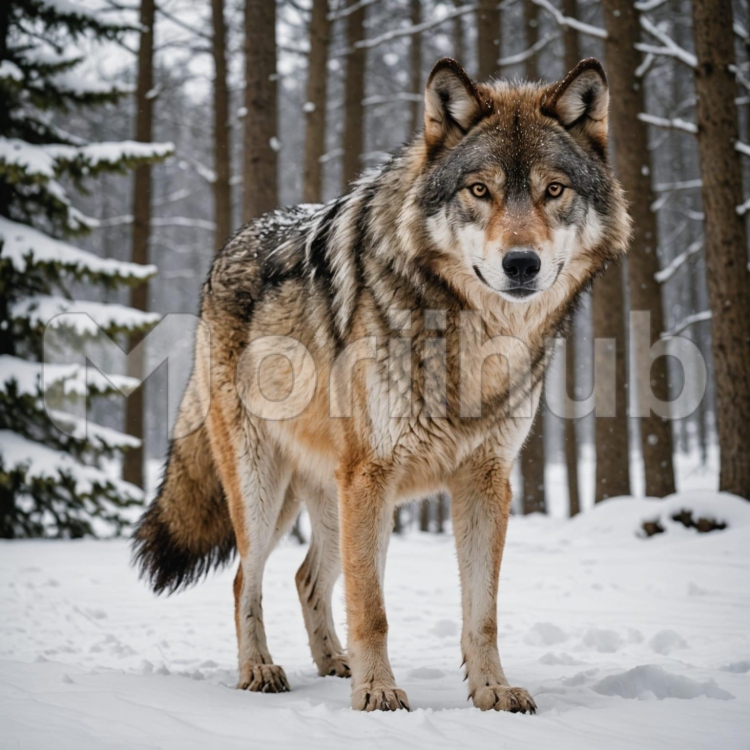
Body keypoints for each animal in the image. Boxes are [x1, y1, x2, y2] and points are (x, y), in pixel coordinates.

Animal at [133, 57, 630, 713]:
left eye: (554, 190)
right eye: (480, 190)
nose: (521, 264)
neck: (470, 338)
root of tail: (225, 252)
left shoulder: (486, 480)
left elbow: (483, 612)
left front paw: (492, 690)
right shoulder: (371, 473)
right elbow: (373, 608)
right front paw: (377, 693)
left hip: (338, 500)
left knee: (305, 575)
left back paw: (332, 662)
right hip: (270, 489)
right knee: (247, 577)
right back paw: (260, 670)